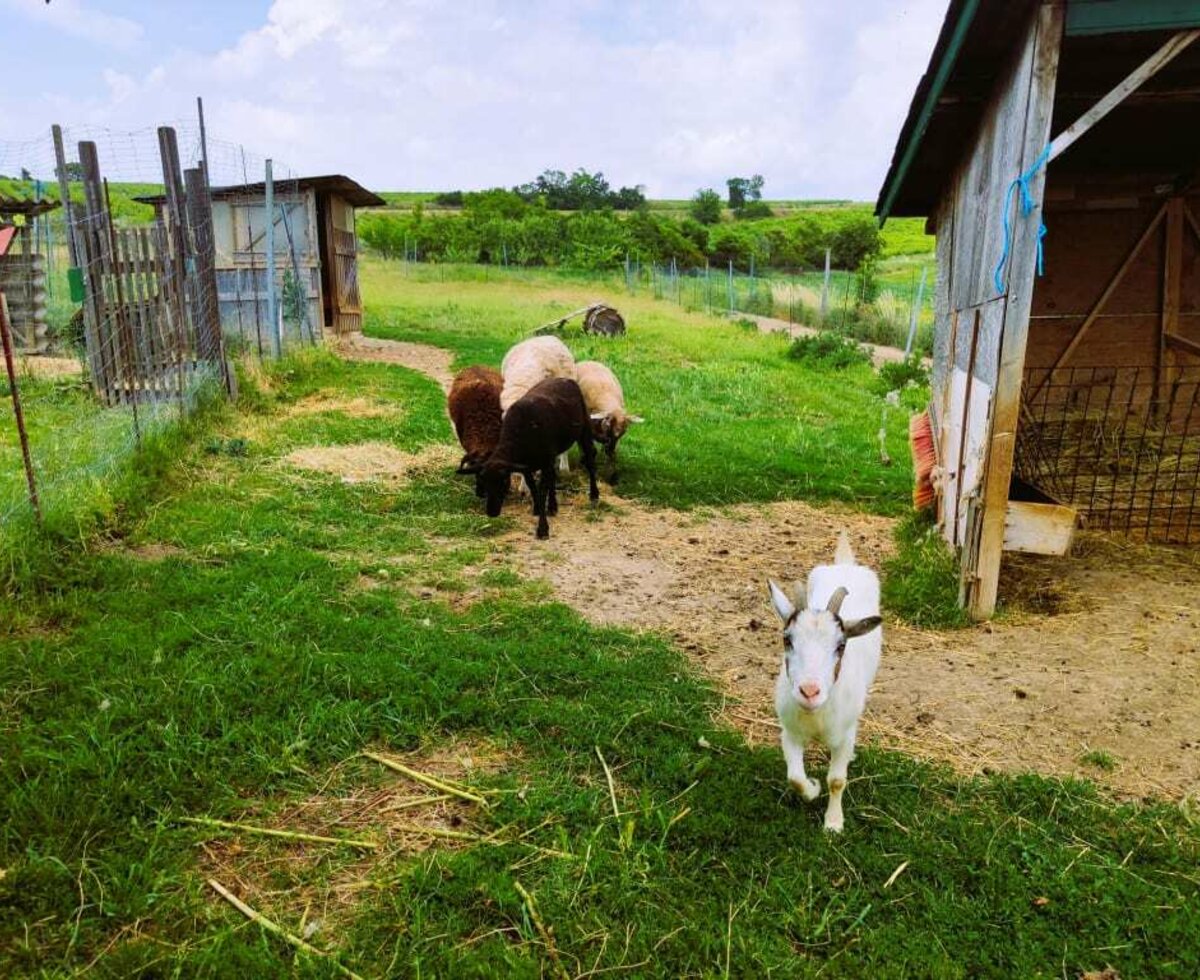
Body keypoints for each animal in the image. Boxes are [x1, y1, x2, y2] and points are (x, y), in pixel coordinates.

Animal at [468, 376, 600, 542]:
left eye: (504, 481)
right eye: (484, 481)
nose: (492, 512)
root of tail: (565, 379)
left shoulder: (544, 461)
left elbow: (542, 491)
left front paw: (542, 529)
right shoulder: (526, 466)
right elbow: (533, 487)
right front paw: (538, 508)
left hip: (584, 430)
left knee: (590, 461)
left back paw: (594, 495)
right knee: (553, 477)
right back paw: (553, 506)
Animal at [768, 532, 883, 830]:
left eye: (841, 645)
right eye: (787, 640)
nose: (809, 692)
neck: (816, 717)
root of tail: (844, 563)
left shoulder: (844, 736)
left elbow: (837, 780)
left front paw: (833, 823)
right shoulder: (790, 732)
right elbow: (795, 778)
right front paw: (813, 787)